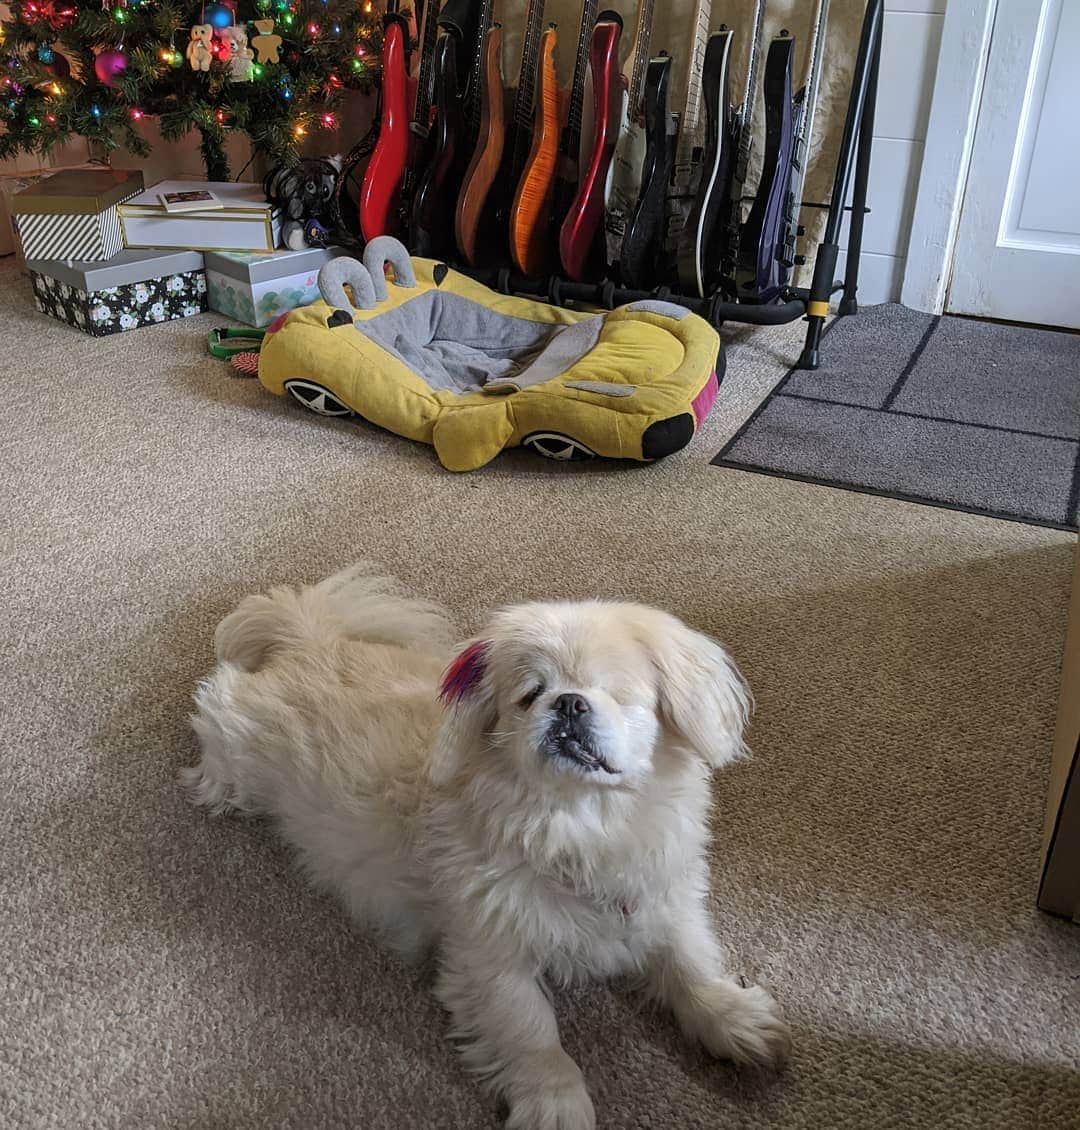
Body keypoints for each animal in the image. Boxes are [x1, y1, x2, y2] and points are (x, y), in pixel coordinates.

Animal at [187, 569, 786, 1125]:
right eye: (530, 695)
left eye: (616, 693)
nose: (569, 703)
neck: (579, 829)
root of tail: (310, 639)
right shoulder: (490, 957)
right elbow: (531, 1033)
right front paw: (555, 1105)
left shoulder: (663, 901)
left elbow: (690, 964)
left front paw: (735, 1019)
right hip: (235, 744)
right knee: (215, 711)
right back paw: (216, 788)